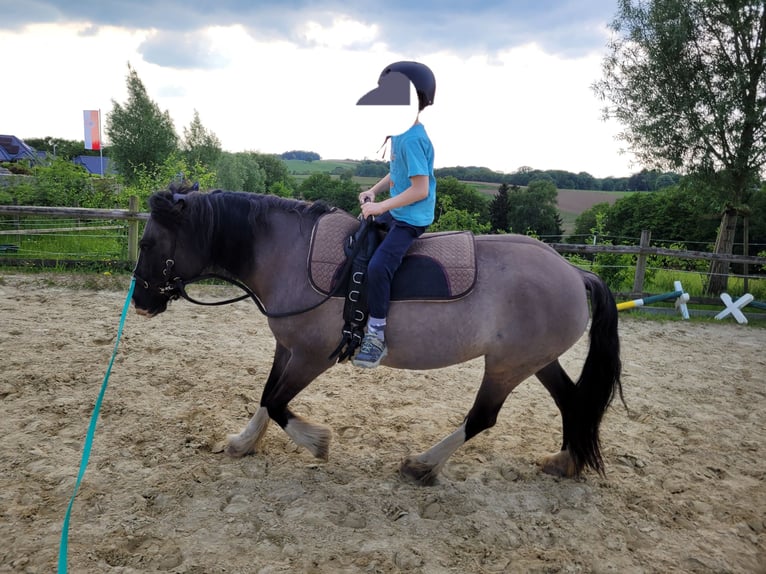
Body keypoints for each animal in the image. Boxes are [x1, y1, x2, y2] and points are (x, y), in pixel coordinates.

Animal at [134, 186, 624, 486]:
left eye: (147, 244)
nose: (140, 301)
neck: (289, 255)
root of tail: (575, 271)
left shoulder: (313, 356)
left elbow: (276, 402)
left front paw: (318, 442)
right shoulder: (287, 348)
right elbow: (265, 396)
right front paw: (243, 443)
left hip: (506, 367)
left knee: (483, 417)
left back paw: (422, 465)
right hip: (535, 361)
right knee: (571, 401)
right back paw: (564, 461)